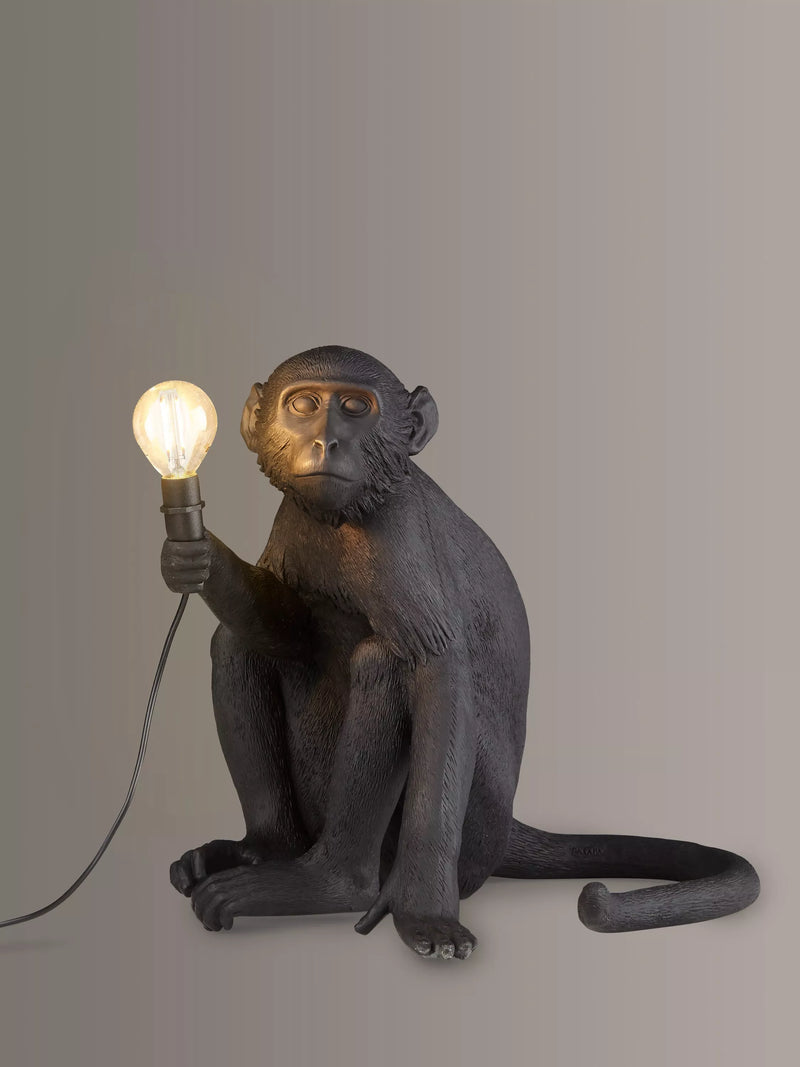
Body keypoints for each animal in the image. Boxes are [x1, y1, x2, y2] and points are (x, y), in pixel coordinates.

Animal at [161, 345, 759, 960]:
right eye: (303, 405)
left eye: (355, 408)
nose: (326, 442)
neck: (347, 515)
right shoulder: (294, 518)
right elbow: (285, 628)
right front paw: (195, 556)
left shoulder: (397, 536)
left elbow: (436, 672)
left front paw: (426, 913)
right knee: (238, 643)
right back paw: (266, 850)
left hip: (478, 821)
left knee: (385, 662)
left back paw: (334, 883)